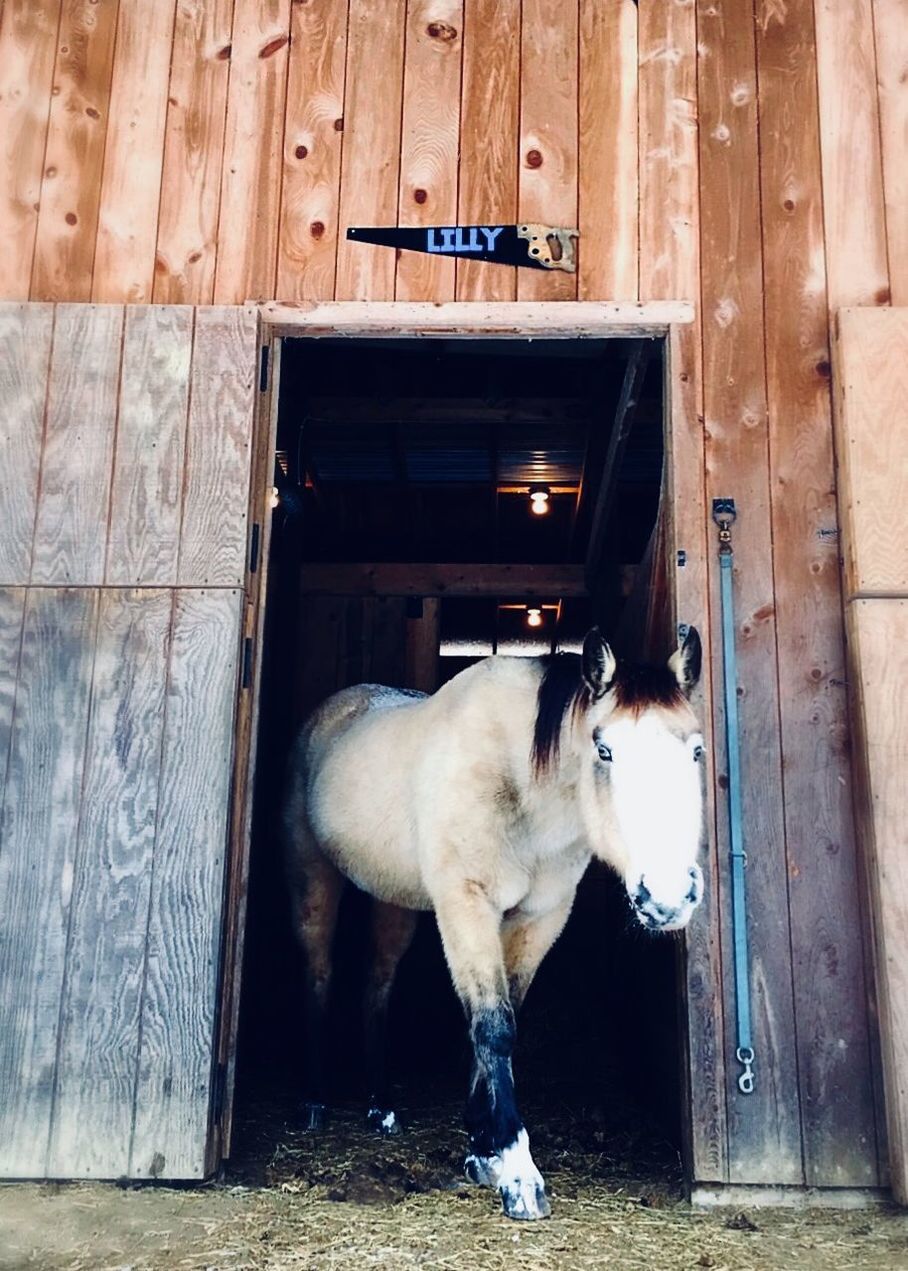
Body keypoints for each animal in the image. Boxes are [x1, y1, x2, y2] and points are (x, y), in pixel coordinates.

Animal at [281, 627, 701, 1220]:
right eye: (604, 749)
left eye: (696, 750)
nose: (668, 897)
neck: (521, 781)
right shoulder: (467, 903)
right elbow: (492, 1025)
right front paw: (517, 1171)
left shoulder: (541, 917)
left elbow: (505, 1019)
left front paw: (482, 1152)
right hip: (313, 878)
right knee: (319, 974)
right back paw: (315, 1100)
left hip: (395, 901)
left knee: (377, 987)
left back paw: (381, 1106)